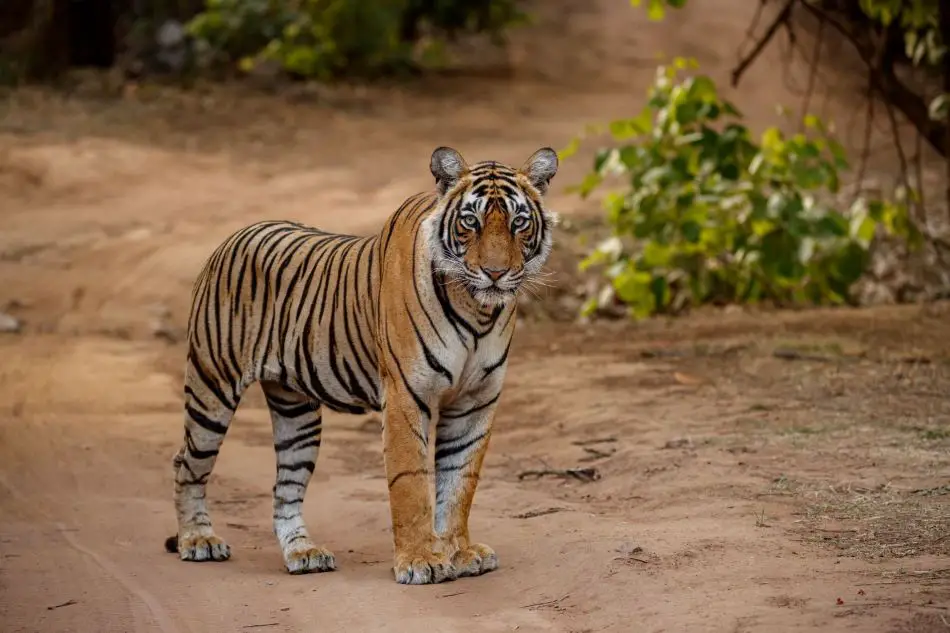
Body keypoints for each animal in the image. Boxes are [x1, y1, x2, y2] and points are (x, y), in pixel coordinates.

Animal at [165, 146, 556, 584]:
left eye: (519, 222)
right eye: (470, 221)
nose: (495, 273)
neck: (478, 310)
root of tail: (232, 238)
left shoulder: (475, 402)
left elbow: (460, 481)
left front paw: (459, 552)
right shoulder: (407, 396)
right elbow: (410, 481)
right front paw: (420, 561)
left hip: (297, 415)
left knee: (285, 489)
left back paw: (304, 552)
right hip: (211, 387)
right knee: (187, 464)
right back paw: (198, 540)